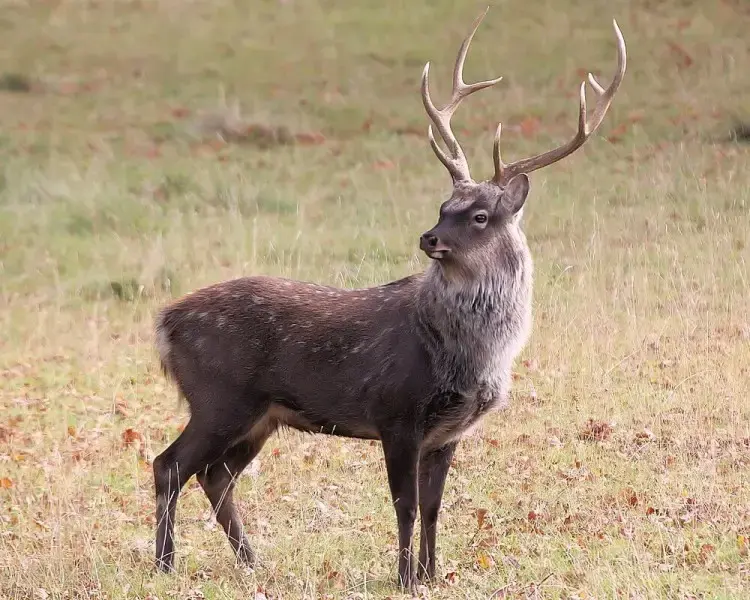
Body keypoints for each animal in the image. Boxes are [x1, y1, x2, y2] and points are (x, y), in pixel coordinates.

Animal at [153, 8, 628, 592]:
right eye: (444, 205)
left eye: (479, 215)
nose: (429, 238)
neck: (469, 356)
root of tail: (164, 322)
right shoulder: (396, 411)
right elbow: (404, 505)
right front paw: (404, 578)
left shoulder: (447, 432)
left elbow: (433, 507)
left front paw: (432, 574)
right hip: (219, 395)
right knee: (170, 465)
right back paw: (164, 563)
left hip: (259, 414)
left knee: (214, 475)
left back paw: (252, 562)